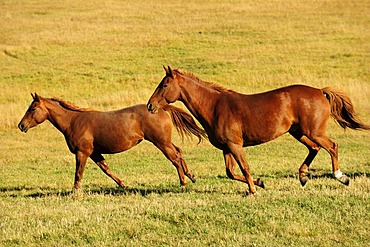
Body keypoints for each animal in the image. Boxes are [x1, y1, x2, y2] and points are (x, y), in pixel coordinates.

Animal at [18, 92, 207, 191]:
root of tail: (161, 108)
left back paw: (183, 182)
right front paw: (123, 185)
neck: (74, 121)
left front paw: (74, 192)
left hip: (161, 143)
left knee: (174, 157)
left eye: (33, 108)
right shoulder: (95, 153)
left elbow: (78, 173)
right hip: (165, 141)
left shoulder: (82, 153)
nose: (21, 125)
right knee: (179, 152)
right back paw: (191, 176)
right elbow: (106, 169)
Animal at [148, 66, 370, 196]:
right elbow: (231, 173)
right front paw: (260, 183)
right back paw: (303, 176)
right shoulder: (226, 148)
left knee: (332, 146)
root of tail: (320, 91)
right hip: (298, 132)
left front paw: (253, 190)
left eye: (164, 85)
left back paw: (341, 177)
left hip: (313, 131)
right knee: (314, 149)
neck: (215, 106)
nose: (150, 106)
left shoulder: (235, 145)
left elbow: (244, 168)